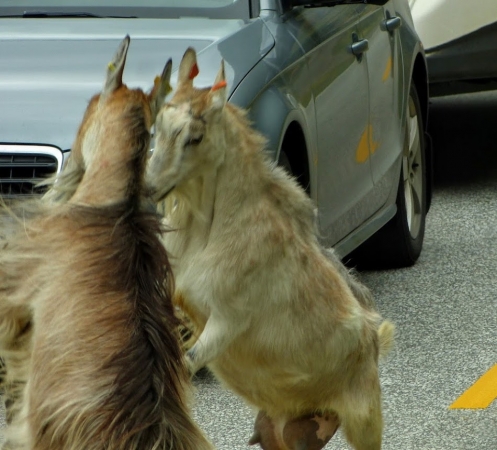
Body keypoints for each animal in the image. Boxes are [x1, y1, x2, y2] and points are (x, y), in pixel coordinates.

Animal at [145, 47, 394, 448]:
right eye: (158, 130)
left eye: (195, 137)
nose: (149, 187)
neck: (211, 232)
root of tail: (374, 339)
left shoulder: (227, 319)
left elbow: (187, 361)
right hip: (281, 433)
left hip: (365, 419)